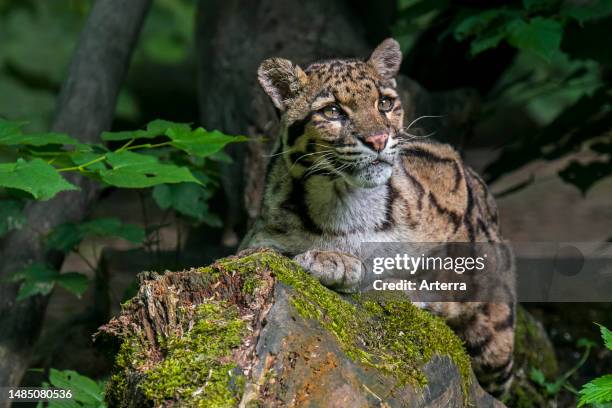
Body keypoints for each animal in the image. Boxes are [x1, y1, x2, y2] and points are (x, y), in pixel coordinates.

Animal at [240, 39, 516, 398]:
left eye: (384, 103)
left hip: (497, 340)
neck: (346, 198)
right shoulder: (258, 240)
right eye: (332, 111)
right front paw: (335, 261)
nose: (378, 140)